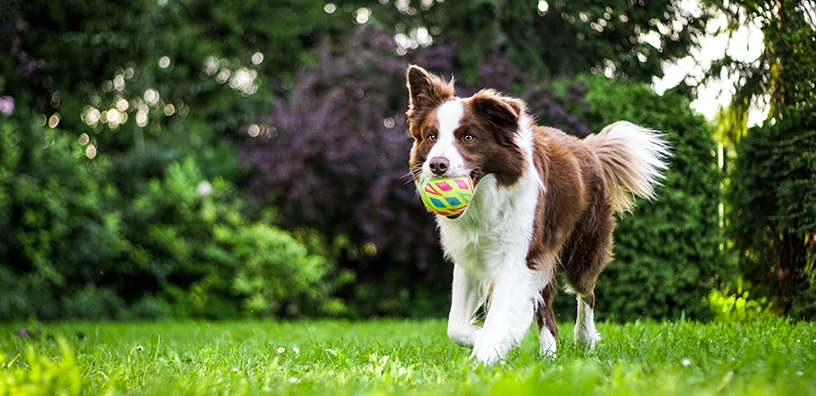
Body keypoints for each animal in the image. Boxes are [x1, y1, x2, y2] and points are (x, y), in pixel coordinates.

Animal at [404, 65, 668, 366]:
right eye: (431, 137)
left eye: (468, 137)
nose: (437, 165)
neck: (486, 199)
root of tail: (587, 147)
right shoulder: (471, 256)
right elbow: (456, 327)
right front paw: (481, 338)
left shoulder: (520, 257)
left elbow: (499, 315)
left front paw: (485, 355)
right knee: (547, 312)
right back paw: (549, 354)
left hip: (582, 248)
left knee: (586, 293)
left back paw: (585, 339)